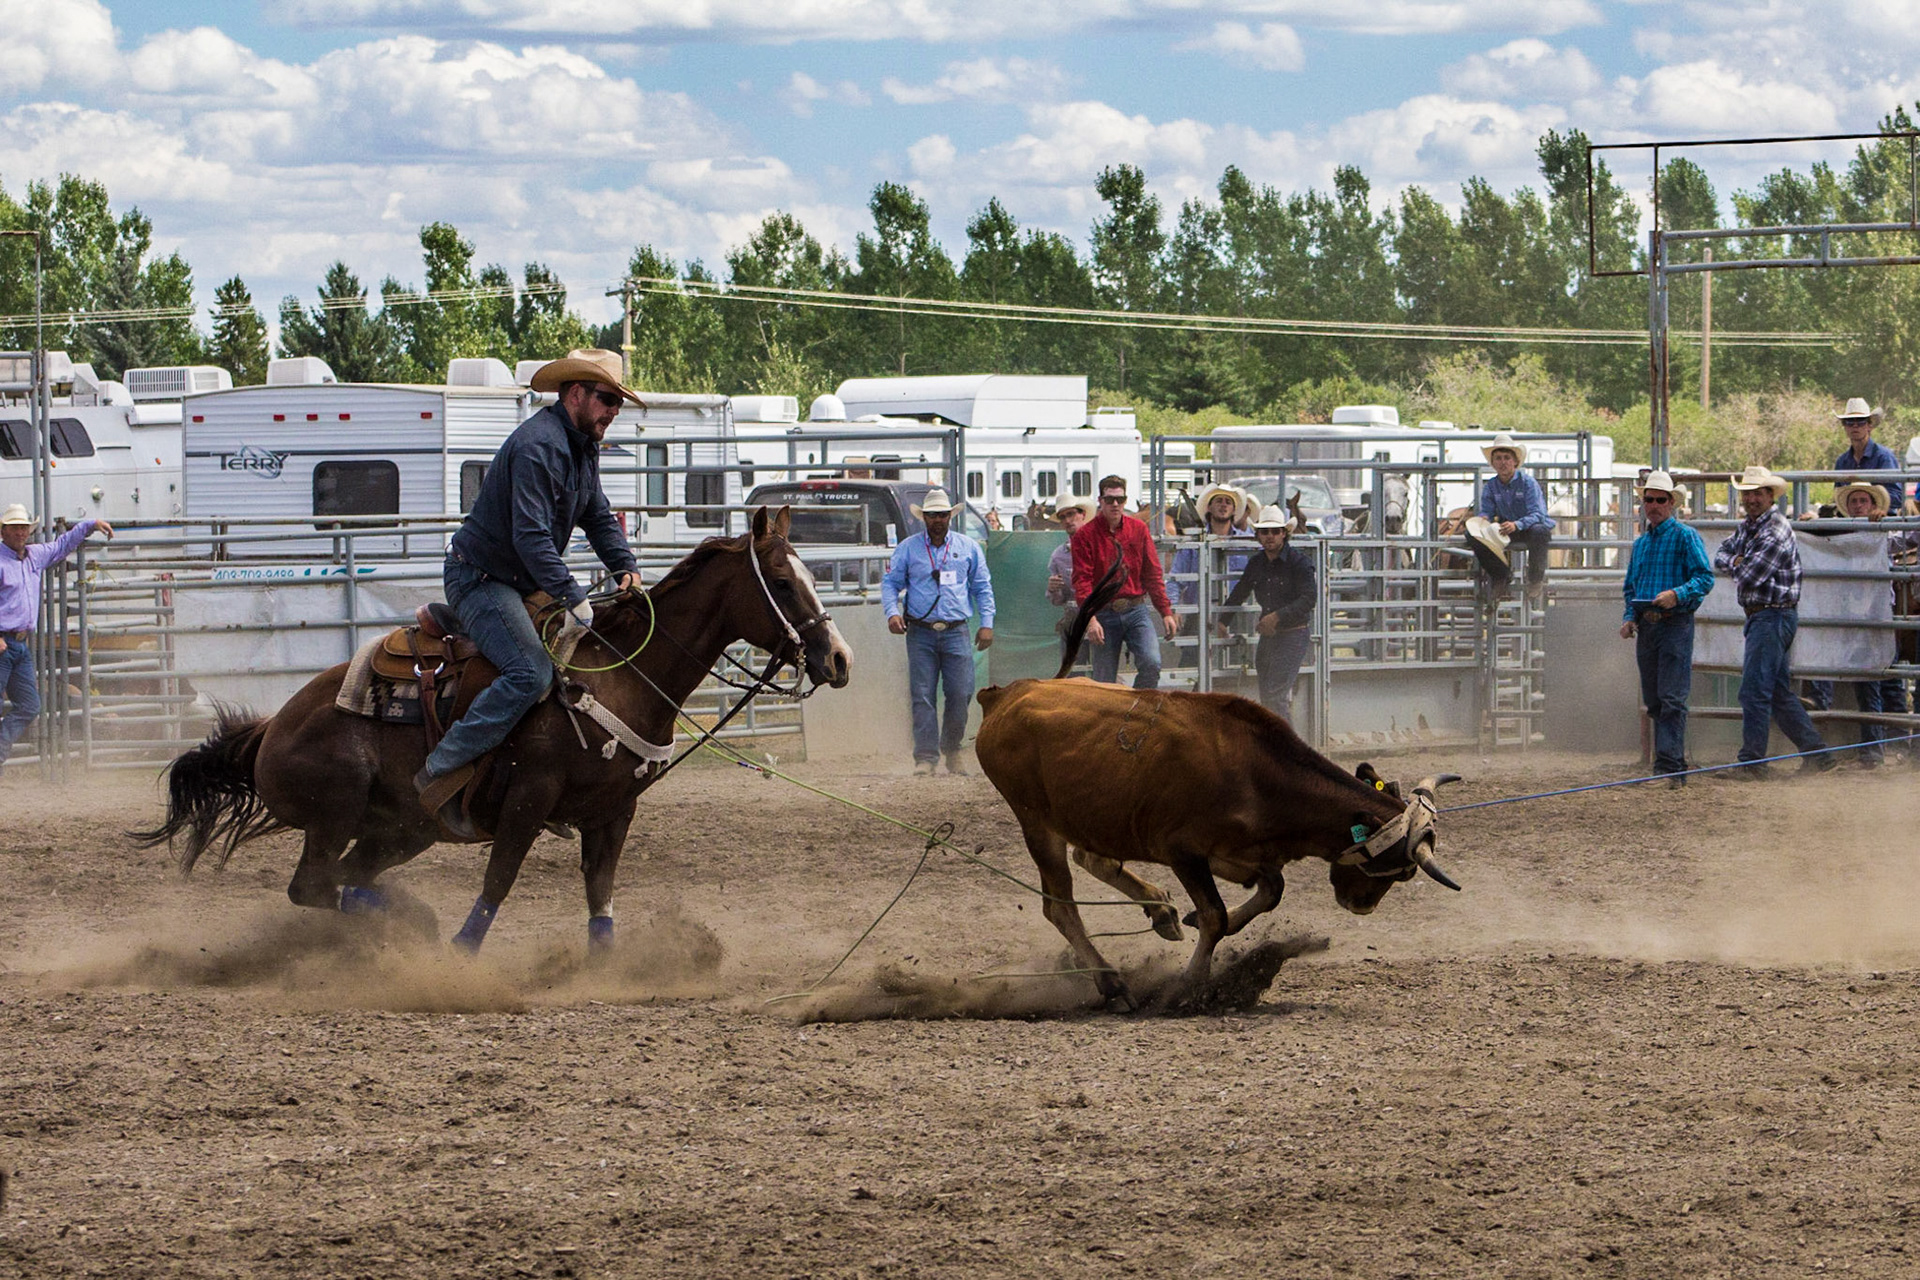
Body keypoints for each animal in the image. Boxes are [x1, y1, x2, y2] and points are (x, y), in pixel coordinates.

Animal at [136, 507, 854, 954]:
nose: (839, 659)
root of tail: (271, 729)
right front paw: (461, 951)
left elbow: (600, 896)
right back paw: (415, 926)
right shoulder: (527, 802)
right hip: (337, 810)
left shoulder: (614, 812)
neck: (620, 676)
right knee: (313, 885)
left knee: (345, 880)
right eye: (783, 582)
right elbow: (499, 883)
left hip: (403, 828)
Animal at [973, 563, 1460, 1009]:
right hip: (1037, 823)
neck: (1255, 772)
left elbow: (1269, 892)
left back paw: (1161, 911)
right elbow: (1216, 916)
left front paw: (1188, 920)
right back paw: (1112, 982)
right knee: (1060, 905)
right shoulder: (1183, 851)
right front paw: (1189, 984)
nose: (1361, 906)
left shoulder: (1239, 856)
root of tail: (1008, 693)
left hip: (1094, 815)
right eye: (1398, 869)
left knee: (1093, 858)